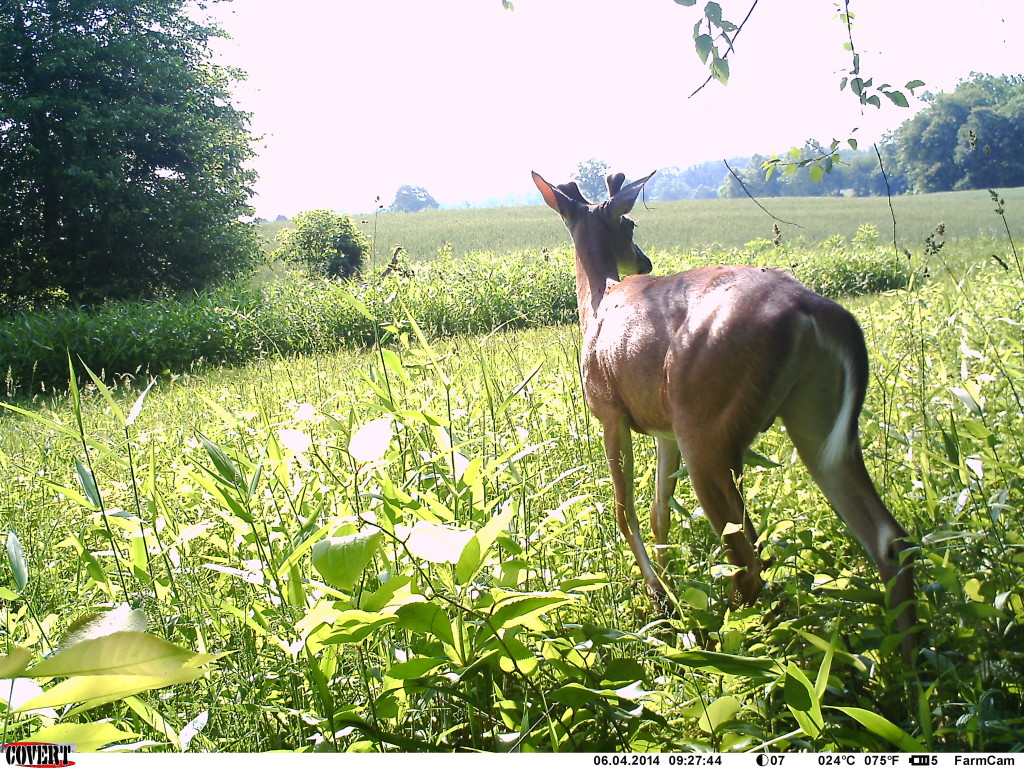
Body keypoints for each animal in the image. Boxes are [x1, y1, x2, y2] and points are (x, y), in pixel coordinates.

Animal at [532, 167, 917, 663]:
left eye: (629, 224)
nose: (645, 261)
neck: (597, 301)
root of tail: (812, 311)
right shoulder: (664, 429)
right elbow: (660, 513)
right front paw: (668, 592)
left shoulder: (609, 411)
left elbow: (625, 512)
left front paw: (659, 599)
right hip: (816, 420)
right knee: (889, 538)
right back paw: (907, 663)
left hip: (706, 424)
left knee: (749, 559)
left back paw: (722, 643)